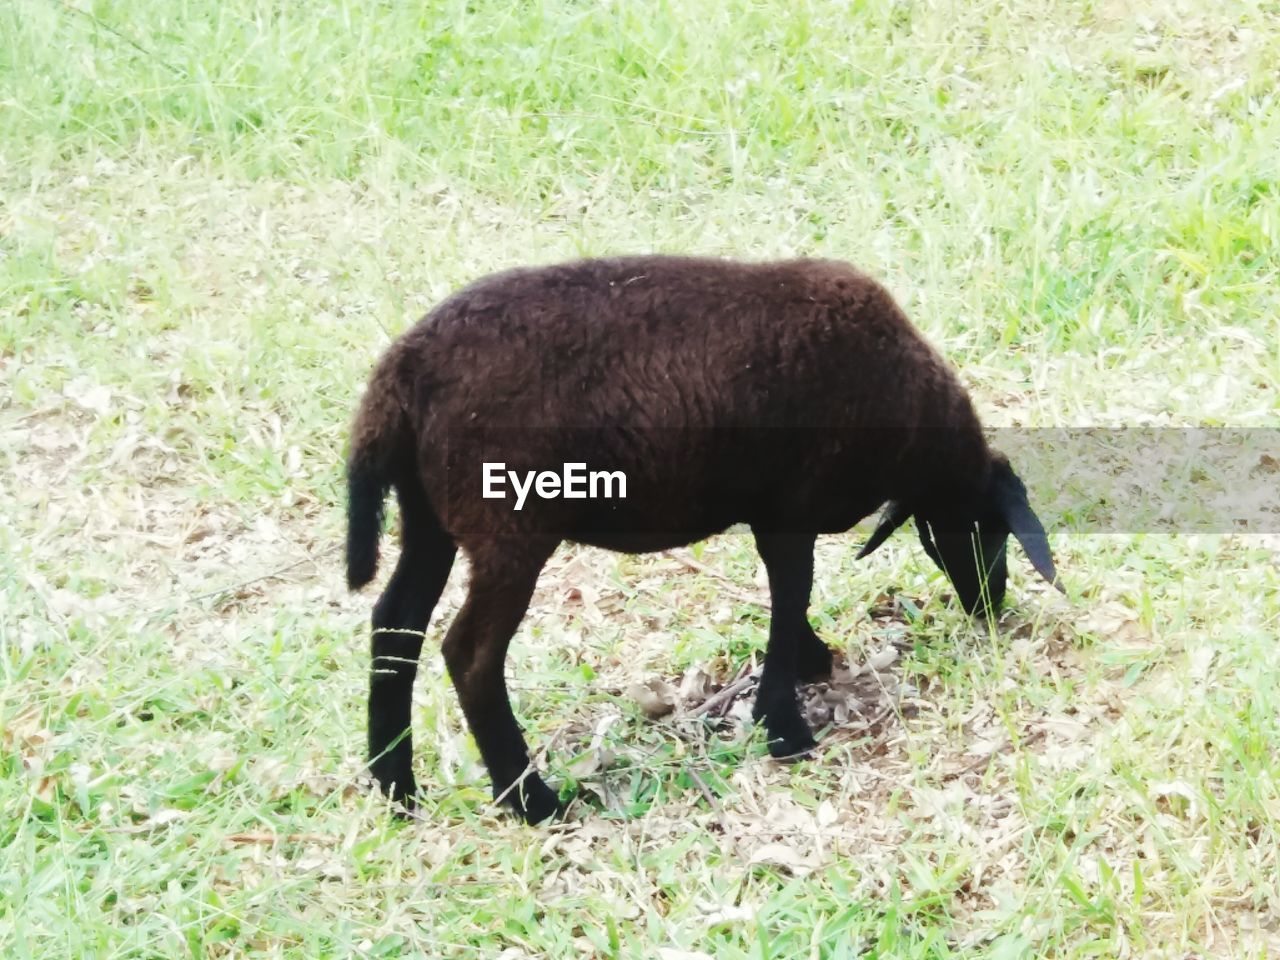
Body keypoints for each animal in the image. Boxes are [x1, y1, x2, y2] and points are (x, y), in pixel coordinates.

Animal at [348, 257, 1059, 829]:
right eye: (989, 528)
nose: (991, 605)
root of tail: (401, 375)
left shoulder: (773, 512)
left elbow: (787, 595)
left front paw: (806, 666)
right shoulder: (793, 505)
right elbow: (790, 594)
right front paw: (785, 726)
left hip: (428, 519)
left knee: (395, 623)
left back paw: (395, 785)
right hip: (509, 528)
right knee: (469, 655)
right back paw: (531, 802)